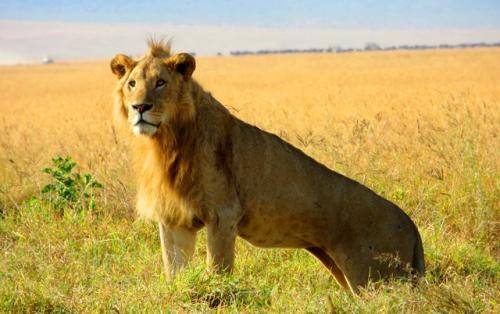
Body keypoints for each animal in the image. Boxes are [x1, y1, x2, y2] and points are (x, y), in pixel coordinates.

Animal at [111, 40, 424, 294]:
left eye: (160, 82)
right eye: (132, 84)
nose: (140, 107)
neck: (166, 141)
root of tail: (412, 227)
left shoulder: (223, 215)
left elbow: (218, 269)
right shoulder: (174, 219)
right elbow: (173, 270)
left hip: (374, 279)